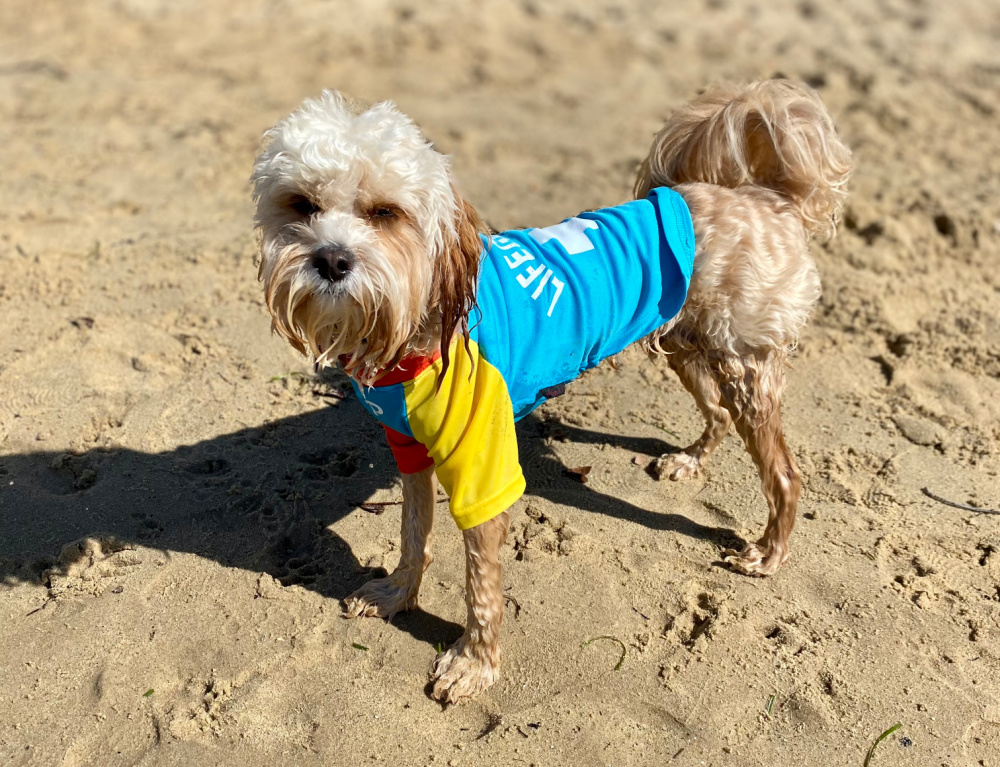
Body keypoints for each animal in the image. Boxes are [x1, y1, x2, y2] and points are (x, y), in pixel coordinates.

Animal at [250, 79, 852, 704]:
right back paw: (690, 459)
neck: (421, 322)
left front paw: (474, 664)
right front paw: (397, 595)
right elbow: (414, 533)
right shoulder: (408, 446)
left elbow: (481, 585)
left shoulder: (483, 470)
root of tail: (765, 196)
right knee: (717, 413)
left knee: (784, 473)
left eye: (385, 213)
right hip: (686, 345)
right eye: (302, 204)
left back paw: (768, 553)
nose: (331, 259)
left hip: (743, 364)